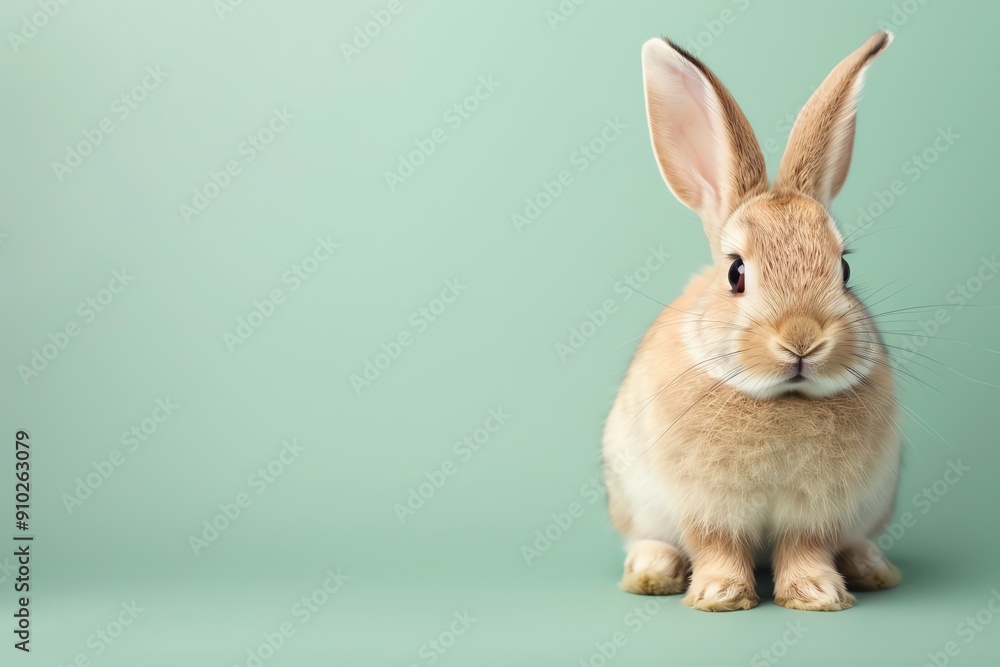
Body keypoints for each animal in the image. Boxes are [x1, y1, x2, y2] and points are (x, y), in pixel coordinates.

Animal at [602, 31, 901, 612]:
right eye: (735, 272)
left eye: (844, 268)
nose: (802, 339)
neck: (783, 400)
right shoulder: (706, 508)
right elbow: (716, 546)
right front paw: (720, 595)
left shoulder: (817, 514)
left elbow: (807, 548)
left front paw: (816, 594)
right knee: (648, 539)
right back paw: (652, 572)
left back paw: (871, 568)